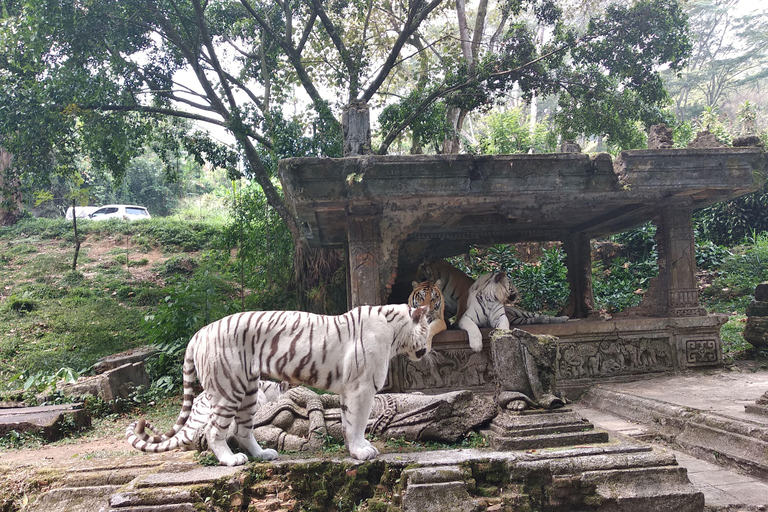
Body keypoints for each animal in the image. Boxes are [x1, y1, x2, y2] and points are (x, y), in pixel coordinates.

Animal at [123, 306, 428, 466]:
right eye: (427, 328)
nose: (428, 349)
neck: (395, 332)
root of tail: (198, 333)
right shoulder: (361, 388)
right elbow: (357, 424)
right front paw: (361, 451)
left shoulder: (351, 391)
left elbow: (349, 423)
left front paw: (357, 448)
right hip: (228, 390)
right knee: (214, 430)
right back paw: (231, 460)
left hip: (248, 391)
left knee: (242, 430)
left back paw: (263, 454)